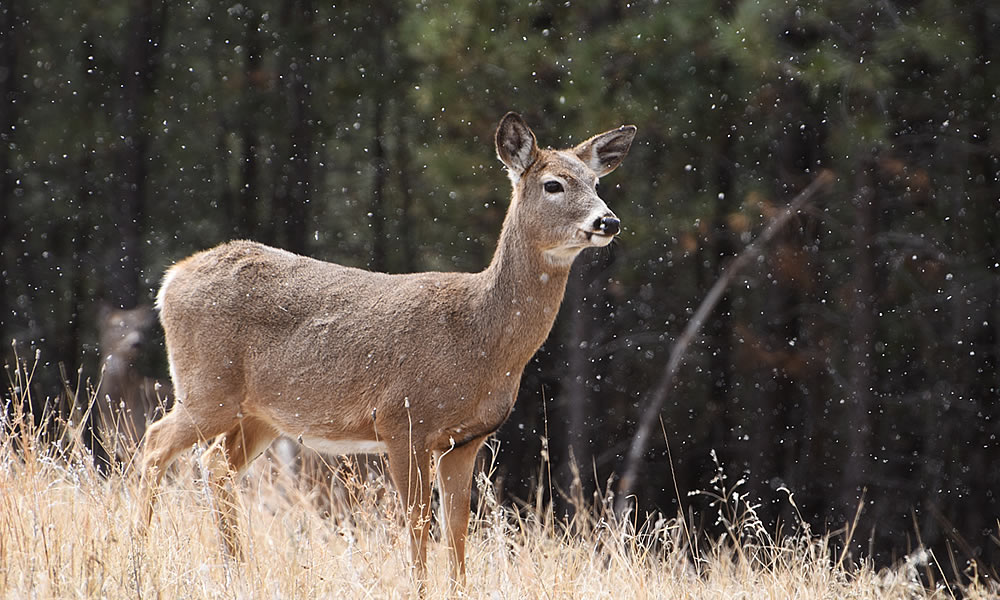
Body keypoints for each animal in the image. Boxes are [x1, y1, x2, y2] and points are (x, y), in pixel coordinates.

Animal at [137, 112, 636, 584]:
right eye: (553, 184)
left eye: (595, 182)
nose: (608, 221)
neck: (479, 339)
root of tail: (171, 279)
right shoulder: (402, 421)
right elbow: (417, 524)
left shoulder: (466, 440)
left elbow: (457, 530)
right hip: (208, 387)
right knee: (155, 443)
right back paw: (138, 557)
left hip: (262, 413)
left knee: (215, 463)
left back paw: (238, 570)